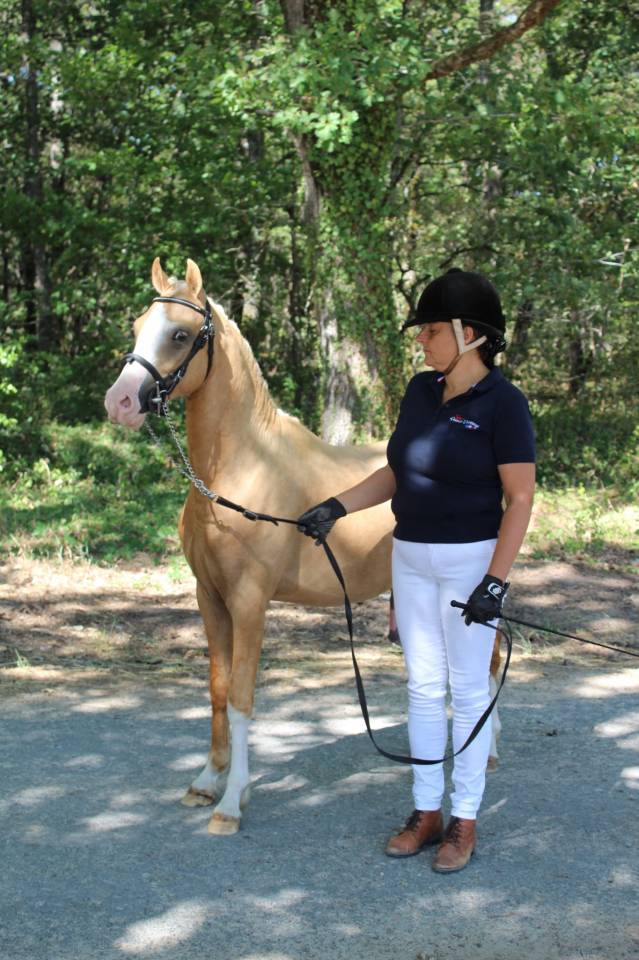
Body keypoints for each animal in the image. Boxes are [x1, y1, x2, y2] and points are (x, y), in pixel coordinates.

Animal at [104, 258, 502, 835]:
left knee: (490, 667)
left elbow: (243, 697)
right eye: (137, 326)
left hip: (474, 600)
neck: (237, 475)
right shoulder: (210, 599)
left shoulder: (249, 602)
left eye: (179, 335)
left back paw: (487, 753)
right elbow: (218, 691)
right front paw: (206, 781)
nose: (120, 402)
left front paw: (231, 803)